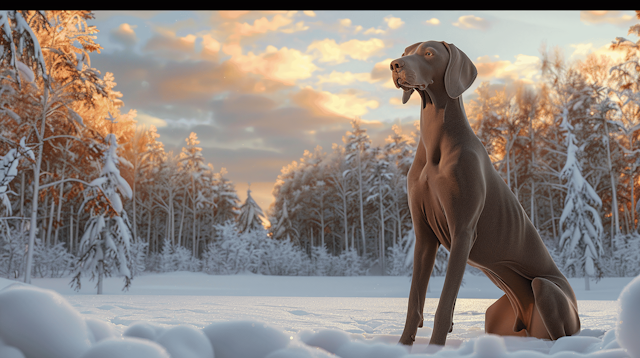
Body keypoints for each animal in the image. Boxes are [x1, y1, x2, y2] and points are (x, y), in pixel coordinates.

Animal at [390, 41, 580, 346]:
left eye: (429, 53)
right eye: (406, 51)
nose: (395, 65)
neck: (435, 145)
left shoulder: (463, 231)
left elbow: (445, 302)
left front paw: (435, 347)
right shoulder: (424, 234)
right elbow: (414, 300)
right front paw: (403, 345)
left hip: (547, 290)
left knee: (557, 332)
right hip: (495, 313)